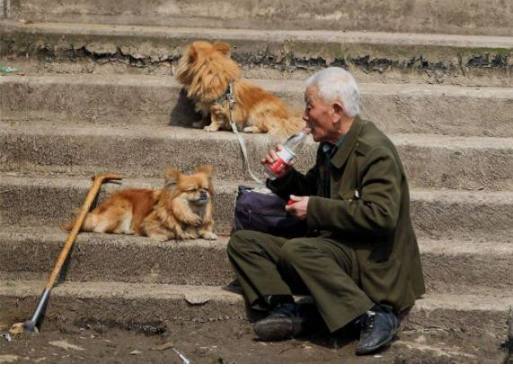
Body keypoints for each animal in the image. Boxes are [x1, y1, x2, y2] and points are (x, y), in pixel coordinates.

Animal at [66, 167, 216, 242]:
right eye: (193, 190)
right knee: (101, 228)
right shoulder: (147, 223)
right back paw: (128, 230)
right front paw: (178, 234)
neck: (192, 212)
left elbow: (202, 230)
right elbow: (168, 232)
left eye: (206, 188)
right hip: (124, 208)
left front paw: (207, 233)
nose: (203, 192)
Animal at [176, 41, 304, 137]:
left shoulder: (217, 106)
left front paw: (211, 127)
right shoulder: (207, 103)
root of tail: (286, 117)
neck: (212, 74)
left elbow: (214, 118)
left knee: (269, 128)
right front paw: (199, 123)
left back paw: (250, 129)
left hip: (256, 113)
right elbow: (205, 115)